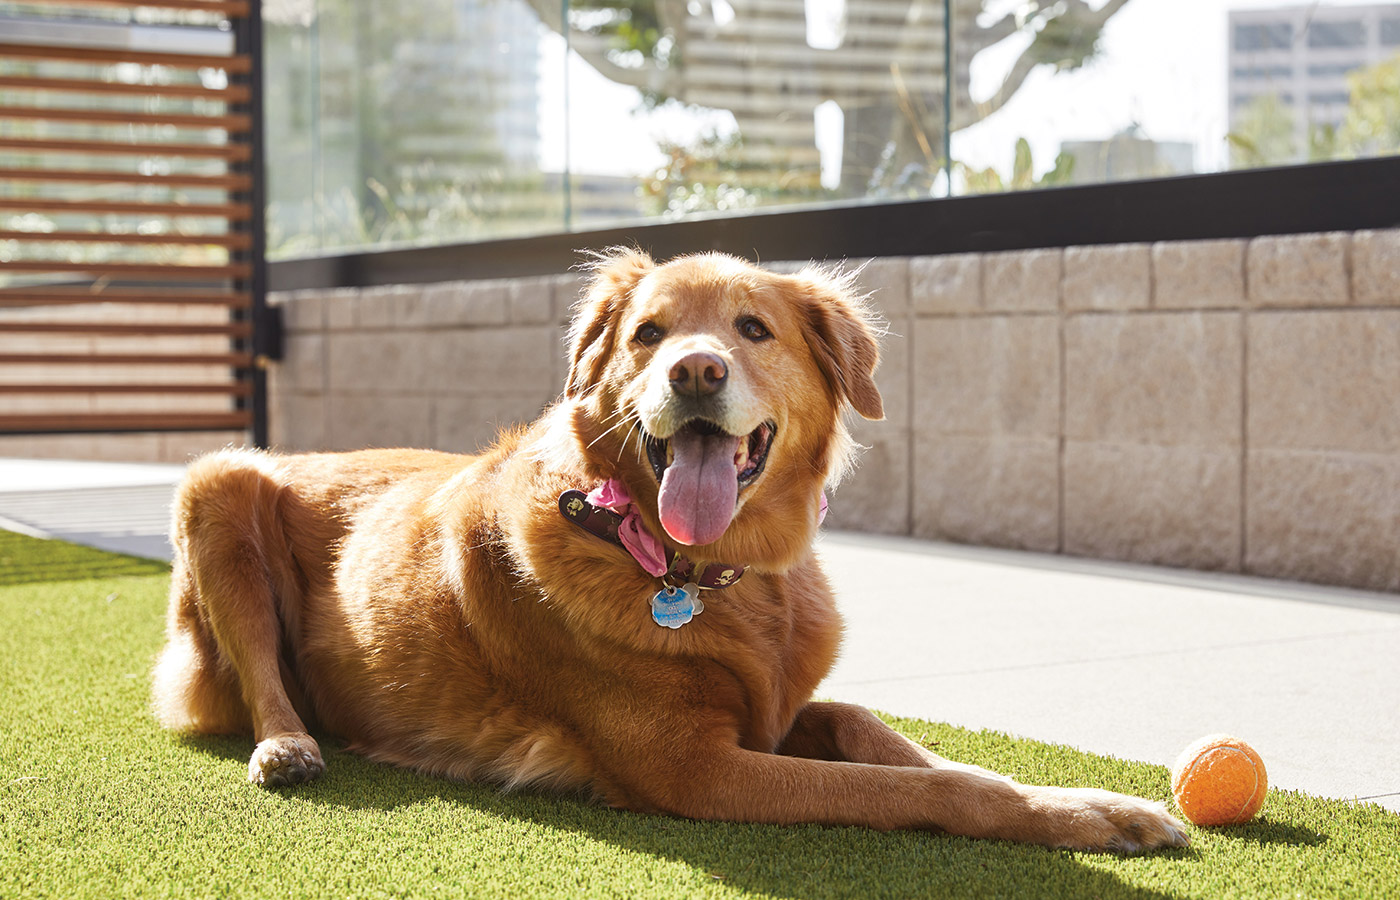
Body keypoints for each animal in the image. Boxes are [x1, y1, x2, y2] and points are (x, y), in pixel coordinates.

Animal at [153, 247, 1187, 851]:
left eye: (753, 328)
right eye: (648, 333)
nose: (694, 369)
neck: (720, 577)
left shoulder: (776, 713)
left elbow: (882, 735)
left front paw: (1099, 804)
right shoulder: (698, 769)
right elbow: (923, 791)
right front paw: (1061, 816)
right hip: (216, 482)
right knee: (260, 680)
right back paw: (287, 745)